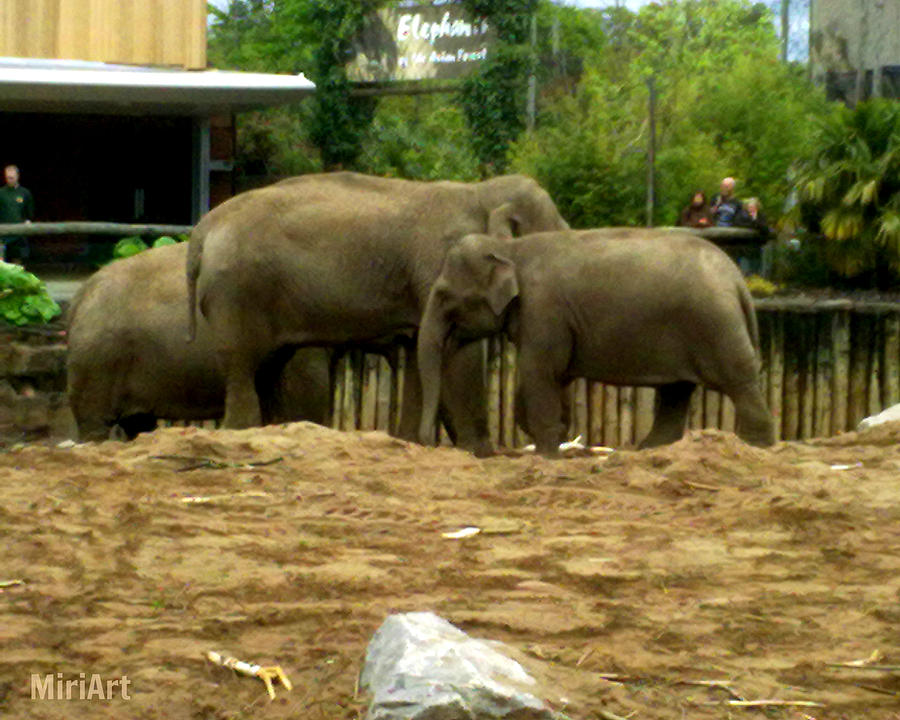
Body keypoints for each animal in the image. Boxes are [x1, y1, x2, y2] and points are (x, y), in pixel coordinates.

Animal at [185, 171, 568, 452]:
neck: (482, 191)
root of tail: (203, 228)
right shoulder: (440, 266)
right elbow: (461, 356)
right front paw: (479, 453)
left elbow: (419, 353)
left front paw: (409, 441)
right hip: (236, 294)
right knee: (243, 364)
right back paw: (241, 433)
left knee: (266, 369)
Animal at [418, 229, 776, 456]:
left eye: (445, 296)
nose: (426, 443)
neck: (510, 248)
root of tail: (737, 280)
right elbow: (552, 375)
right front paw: (556, 434)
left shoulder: (544, 309)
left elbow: (540, 372)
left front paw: (546, 454)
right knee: (677, 391)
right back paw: (651, 450)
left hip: (715, 325)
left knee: (739, 382)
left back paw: (756, 449)